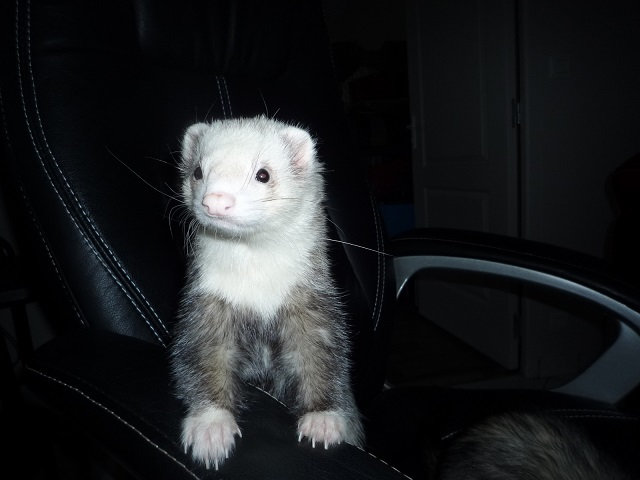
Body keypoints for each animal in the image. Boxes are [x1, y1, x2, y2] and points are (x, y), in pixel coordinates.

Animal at [170, 116, 364, 469]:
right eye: (198, 171)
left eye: (263, 174)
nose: (216, 199)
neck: (257, 286)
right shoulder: (204, 310)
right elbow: (201, 360)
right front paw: (211, 427)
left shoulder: (315, 309)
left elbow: (324, 360)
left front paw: (323, 420)